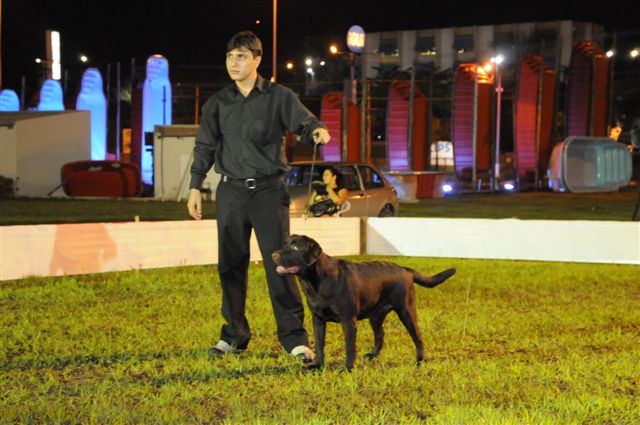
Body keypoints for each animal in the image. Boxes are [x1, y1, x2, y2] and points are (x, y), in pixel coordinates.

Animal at [272, 234, 455, 370]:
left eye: (295, 247)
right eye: (284, 244)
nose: (273, 255)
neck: (316, 282)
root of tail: (405, 270)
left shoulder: (348, 320)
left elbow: (349, 347)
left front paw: (348, 368)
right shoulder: (318, 319)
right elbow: (319, 344)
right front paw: (317, 365)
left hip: (406, 310)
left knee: (417, 337)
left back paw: (418, 361)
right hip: (376, 315)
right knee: (380, 335)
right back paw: (372, 355)